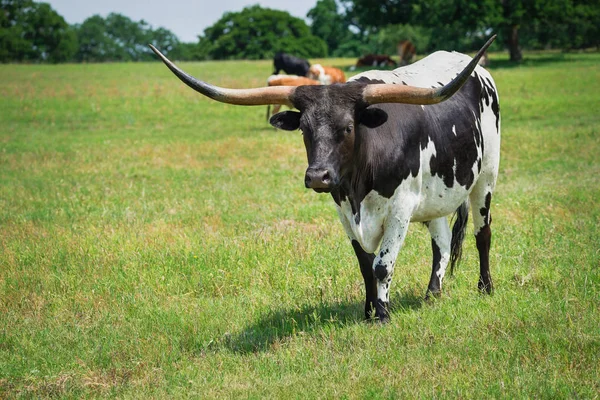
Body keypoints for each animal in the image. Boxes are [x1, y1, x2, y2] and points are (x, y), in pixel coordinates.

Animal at [151, 33, 502, 322]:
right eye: (304, 129)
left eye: (347, 127)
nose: (318, 176)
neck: (359, 187)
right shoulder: (344, 211)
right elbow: (365, 266)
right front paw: (368, 311)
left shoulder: (400, 208)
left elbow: (382, 265)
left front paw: (383, 314)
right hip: (436, 195)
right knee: (441, 242)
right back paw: (432, 294)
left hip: (486, 177)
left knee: (482, 234)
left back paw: (485, 288)